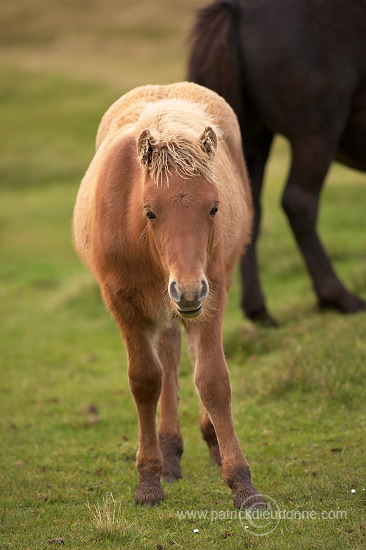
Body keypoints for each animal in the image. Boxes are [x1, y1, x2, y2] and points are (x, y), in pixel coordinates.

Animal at [73, 82, 264, 508]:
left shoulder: (210, 295)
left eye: (214, 207)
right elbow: (146, 381)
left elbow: (213, 380)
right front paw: (148, 481)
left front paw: (243, 485)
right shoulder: (122, 303)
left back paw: (205, 444)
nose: (188, 289)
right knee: (169, 356)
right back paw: (170, 453)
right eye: (150, 212)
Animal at [189, 0, 366, 326]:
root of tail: (237, 7)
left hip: (251, 140)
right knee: (300, 204)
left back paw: (258, 310)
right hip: (317, 135)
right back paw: (338, 297)